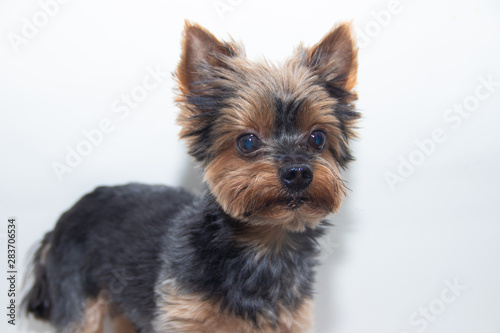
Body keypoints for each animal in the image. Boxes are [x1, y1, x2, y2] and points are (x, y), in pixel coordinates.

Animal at [22, 21, 360, 332]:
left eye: (317, 138)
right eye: (247, 142)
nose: (298, 172)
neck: (263, 244)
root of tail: (63, 220)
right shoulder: (182, 316)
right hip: (79, 303)